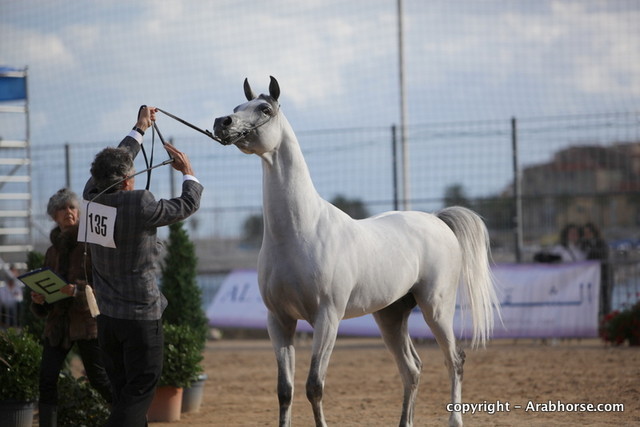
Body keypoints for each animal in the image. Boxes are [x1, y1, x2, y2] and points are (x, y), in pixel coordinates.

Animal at [213, 76, 501, 427]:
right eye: (238, 107)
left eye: (265, 109)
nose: (222, 122)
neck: (300, 231)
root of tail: (437, 220)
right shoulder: (279, 320)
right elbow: (285, 390)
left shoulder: (327, 318)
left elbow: (314, 386)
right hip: (390, 316)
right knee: (412, 369)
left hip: (436, 308)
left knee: (455, 360)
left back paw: (455, 420)